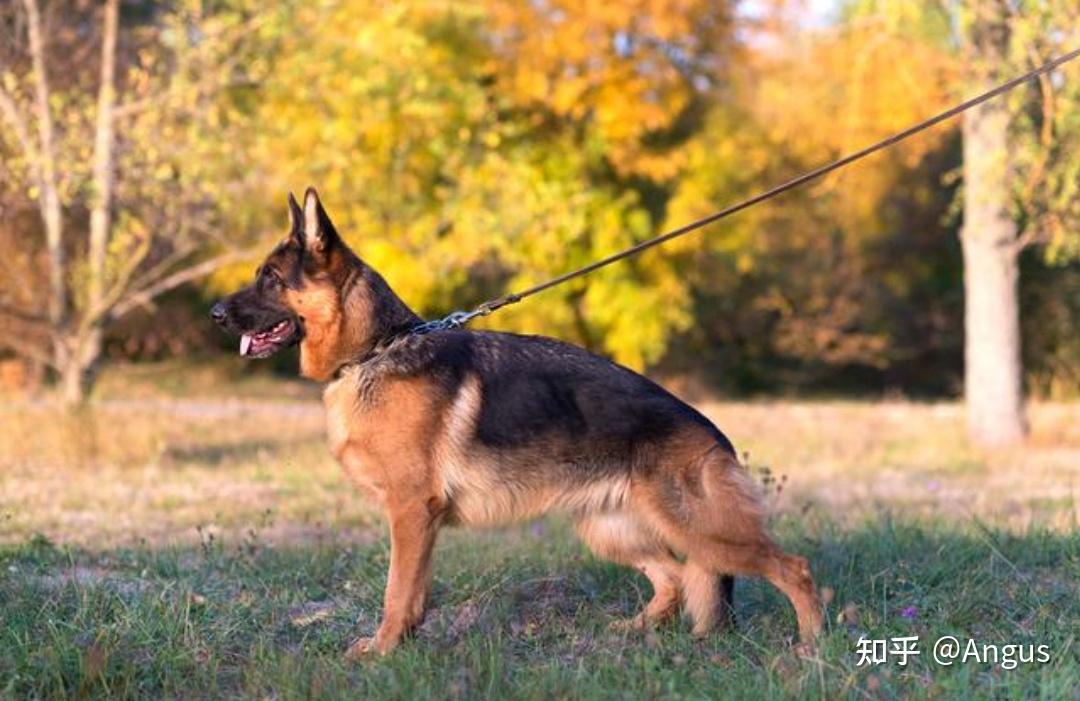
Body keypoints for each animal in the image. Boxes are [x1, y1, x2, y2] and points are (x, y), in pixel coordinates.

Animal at [208, 186, 816, 656]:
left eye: (270, 278)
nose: (213, 313)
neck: (375, 350)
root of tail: (713, 434)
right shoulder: (417, 521)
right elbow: (414, 592)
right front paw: (403, 644)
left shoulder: (411, 511)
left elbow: (396, 589)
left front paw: (382, 650)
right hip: (609, 531)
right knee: (676, 578)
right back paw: (631, 632)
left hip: (703, 530)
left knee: (794, 570)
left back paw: (810, 650)